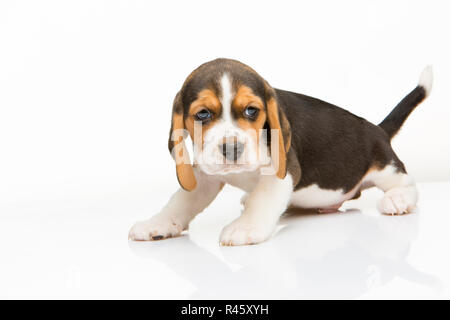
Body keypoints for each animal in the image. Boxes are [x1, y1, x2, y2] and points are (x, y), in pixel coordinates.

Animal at [128, 58, 430, 246]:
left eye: (252, 110)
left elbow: (263, 199)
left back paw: (398, 199)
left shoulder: (283, 171)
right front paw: (157, 223)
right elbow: (180, 202)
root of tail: (378, 130)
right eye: (202, 114)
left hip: (384, 166)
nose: (232, 147)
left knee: (406, 182)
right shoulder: (204, 177)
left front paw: (245, 227)